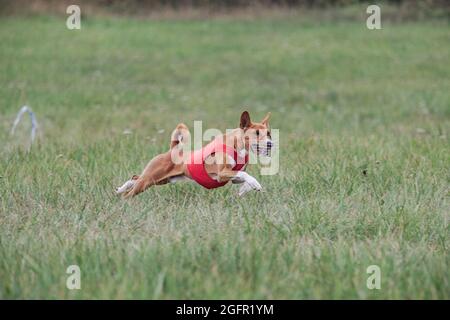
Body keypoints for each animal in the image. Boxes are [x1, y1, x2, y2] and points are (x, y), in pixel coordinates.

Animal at [116, 111, 272, 199]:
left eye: (269, 133)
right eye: (257, 133)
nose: (271, 144)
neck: (236, 146)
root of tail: (172, 150)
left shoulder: (233, 177)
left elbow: (245, 178)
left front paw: (245, 189)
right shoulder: (222, 173)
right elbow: (246, 175)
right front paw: (255, 184)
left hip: (160, 180)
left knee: (135, 178)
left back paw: (120, 189)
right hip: (150, 179)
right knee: (130, 192)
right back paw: (124, 199)